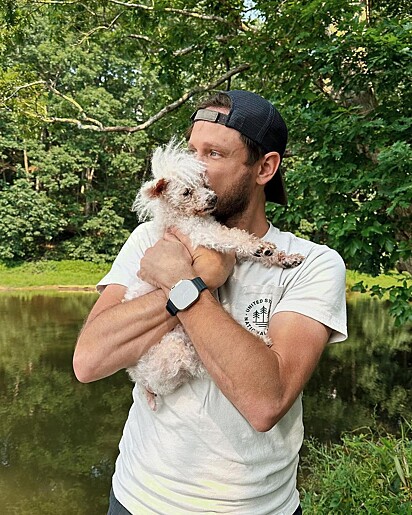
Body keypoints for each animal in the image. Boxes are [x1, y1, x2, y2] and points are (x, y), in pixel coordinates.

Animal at [124, 140, 302, 412]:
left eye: (205, 183)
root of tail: (141, 379)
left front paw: (283, 257)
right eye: (187, 192)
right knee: (201, 364)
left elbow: (244, 243)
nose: (213, 198)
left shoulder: (226, 247)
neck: (182, 217)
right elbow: (233, 236)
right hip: (178, 348)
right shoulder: (204, 235)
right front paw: (261, 247)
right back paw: (261, 340)